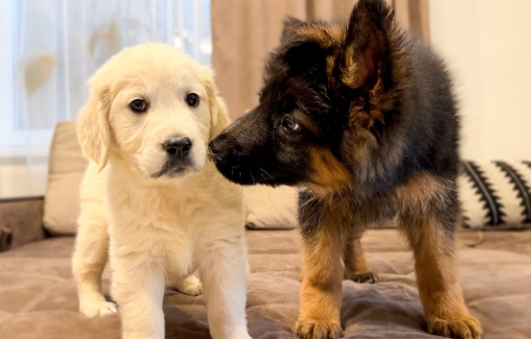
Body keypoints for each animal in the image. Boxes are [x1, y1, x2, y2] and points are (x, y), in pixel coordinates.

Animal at [70, 43, 251, 339]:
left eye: (192, 99)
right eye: (138, 105)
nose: (178, 145)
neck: (173, 192)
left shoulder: (223, 249)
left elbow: (226, 308)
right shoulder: (138, 261)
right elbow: (145, 319)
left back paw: (189, 283)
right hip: (95, 229)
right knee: (85, 267)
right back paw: (94, 303)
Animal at [211, 0, 482, 339]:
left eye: (290, 124)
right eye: (262, 103)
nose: (212, 148)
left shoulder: (434, 201)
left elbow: (439, 265)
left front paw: (450, 314)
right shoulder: (321, 204)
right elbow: (322, 267)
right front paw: (319, 316)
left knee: (354, 236)